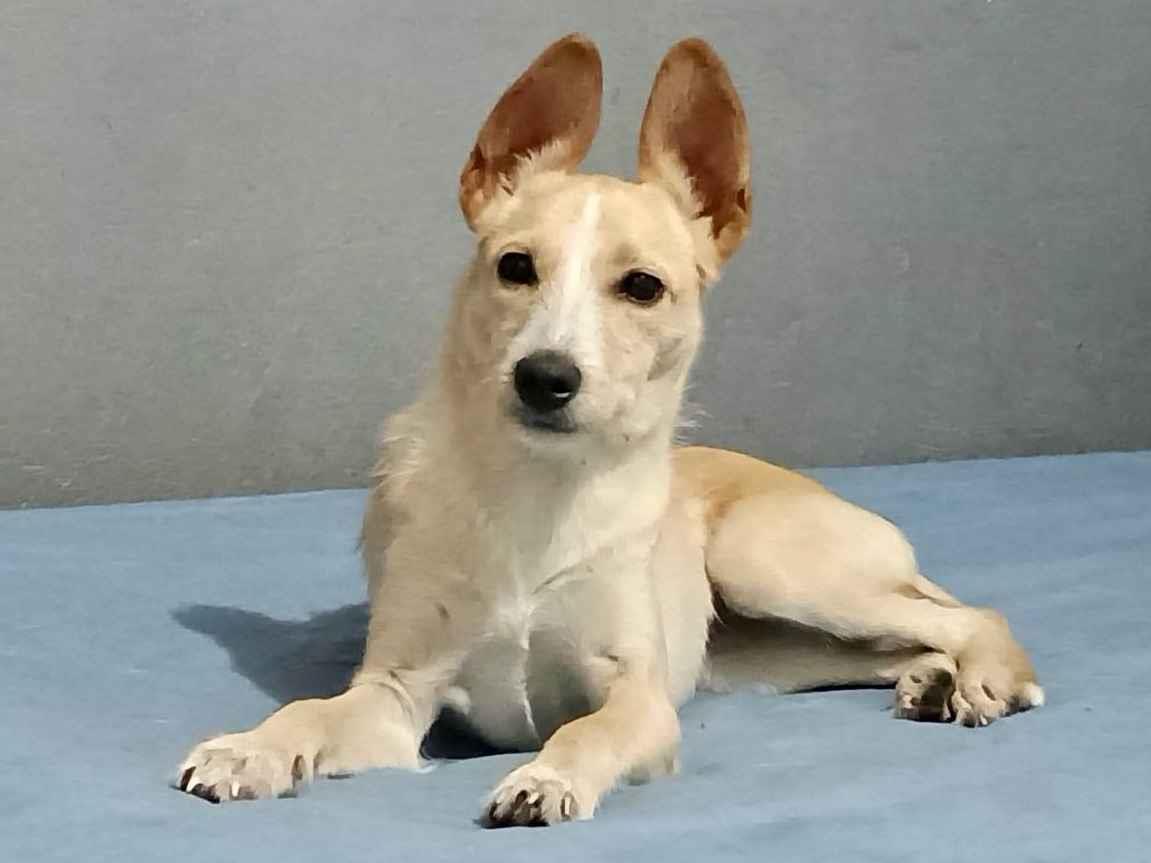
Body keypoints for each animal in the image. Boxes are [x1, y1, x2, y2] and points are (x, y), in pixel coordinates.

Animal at [176, 34, 1043, 826]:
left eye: (642, 287)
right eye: (514, 267)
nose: (544, 376)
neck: (539, 489)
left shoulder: (638, 699)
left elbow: (584, 731)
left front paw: (547, 776)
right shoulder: (394, 695)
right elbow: (308, 711)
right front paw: (249, 748)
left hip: (769, 565)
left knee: (970, 615)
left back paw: (985, 677)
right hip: (770, 646)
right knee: (894, 646)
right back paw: (929, 679)